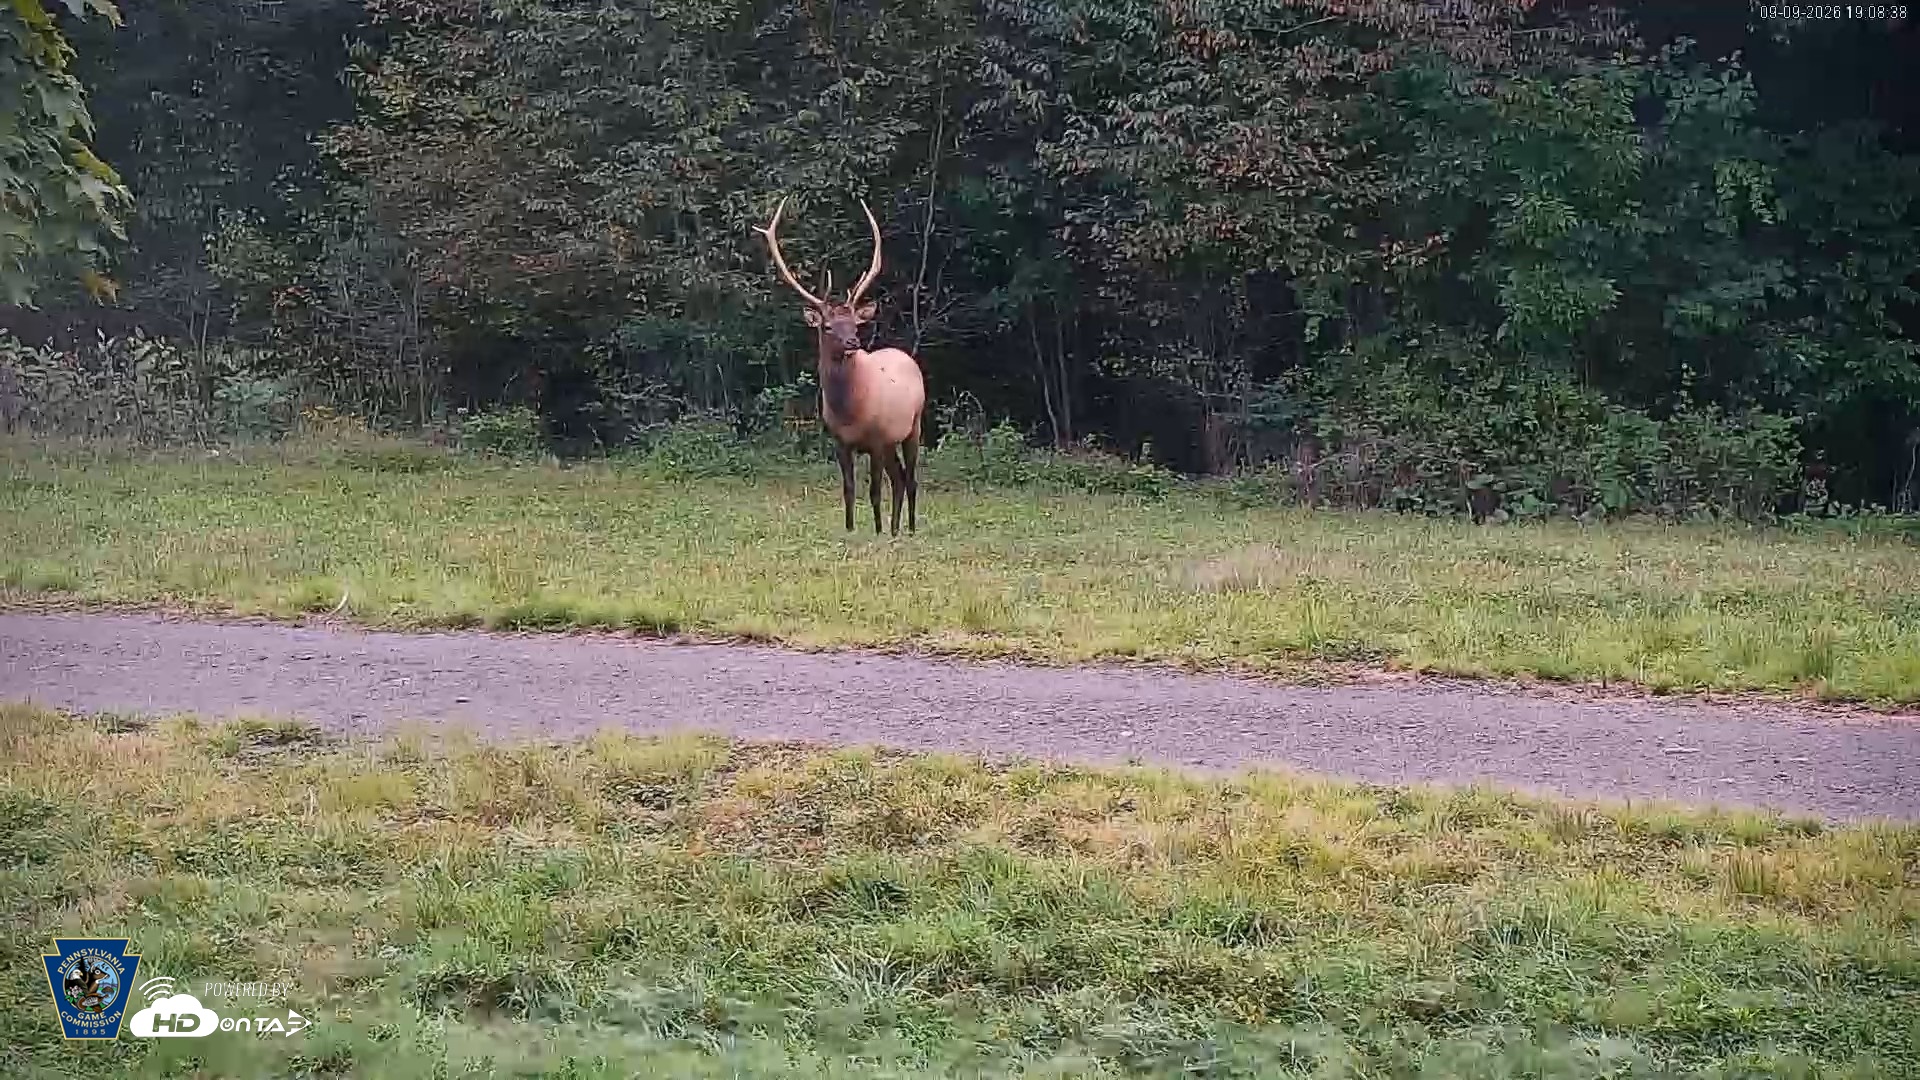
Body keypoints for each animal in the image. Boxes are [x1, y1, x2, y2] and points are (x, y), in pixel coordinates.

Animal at [754, 194, 926, 536]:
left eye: (856, 324)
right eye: (828, 326)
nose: (853, 342)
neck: (850, 411)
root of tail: (907, 357)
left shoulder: (876, 438)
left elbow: (874, 490)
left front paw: (876, 532)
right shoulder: (839, 441)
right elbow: (848, 488)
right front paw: (850, 529)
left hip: (913, 424)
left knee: (910, 479)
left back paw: (910, 529)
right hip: (893, 440)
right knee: (899, 478)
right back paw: (896, 529)